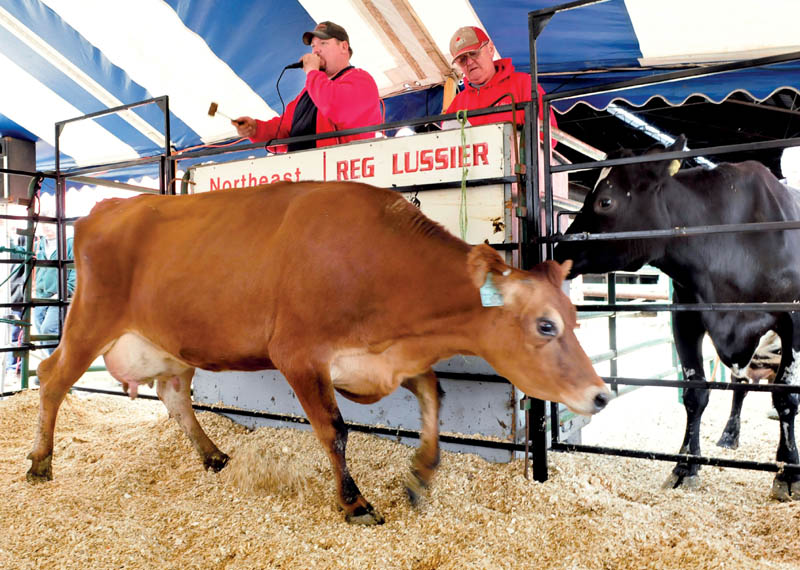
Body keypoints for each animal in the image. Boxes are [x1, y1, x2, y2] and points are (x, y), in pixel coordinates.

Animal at [27, 181, 610, 524]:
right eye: (546, 325)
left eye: (576, 317)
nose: (601, 395)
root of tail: (107, 207)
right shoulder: (299, 355)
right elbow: (335, 430)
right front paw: (354, 502)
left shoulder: (384, 358)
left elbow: (433, 396)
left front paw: (421, 474)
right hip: (90, 318)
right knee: (51, 374)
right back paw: (39, 462)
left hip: (171, 344)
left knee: (173, 394)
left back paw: (213, 454)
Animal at [554, 136, 800, 501]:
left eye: (605, 201)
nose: (558, 252)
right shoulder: (686, 319)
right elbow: (695, 395)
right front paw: (685, 465)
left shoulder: (794, 321)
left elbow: (786, 396)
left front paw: (789, 471)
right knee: (739, 385)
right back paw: (729, 434)